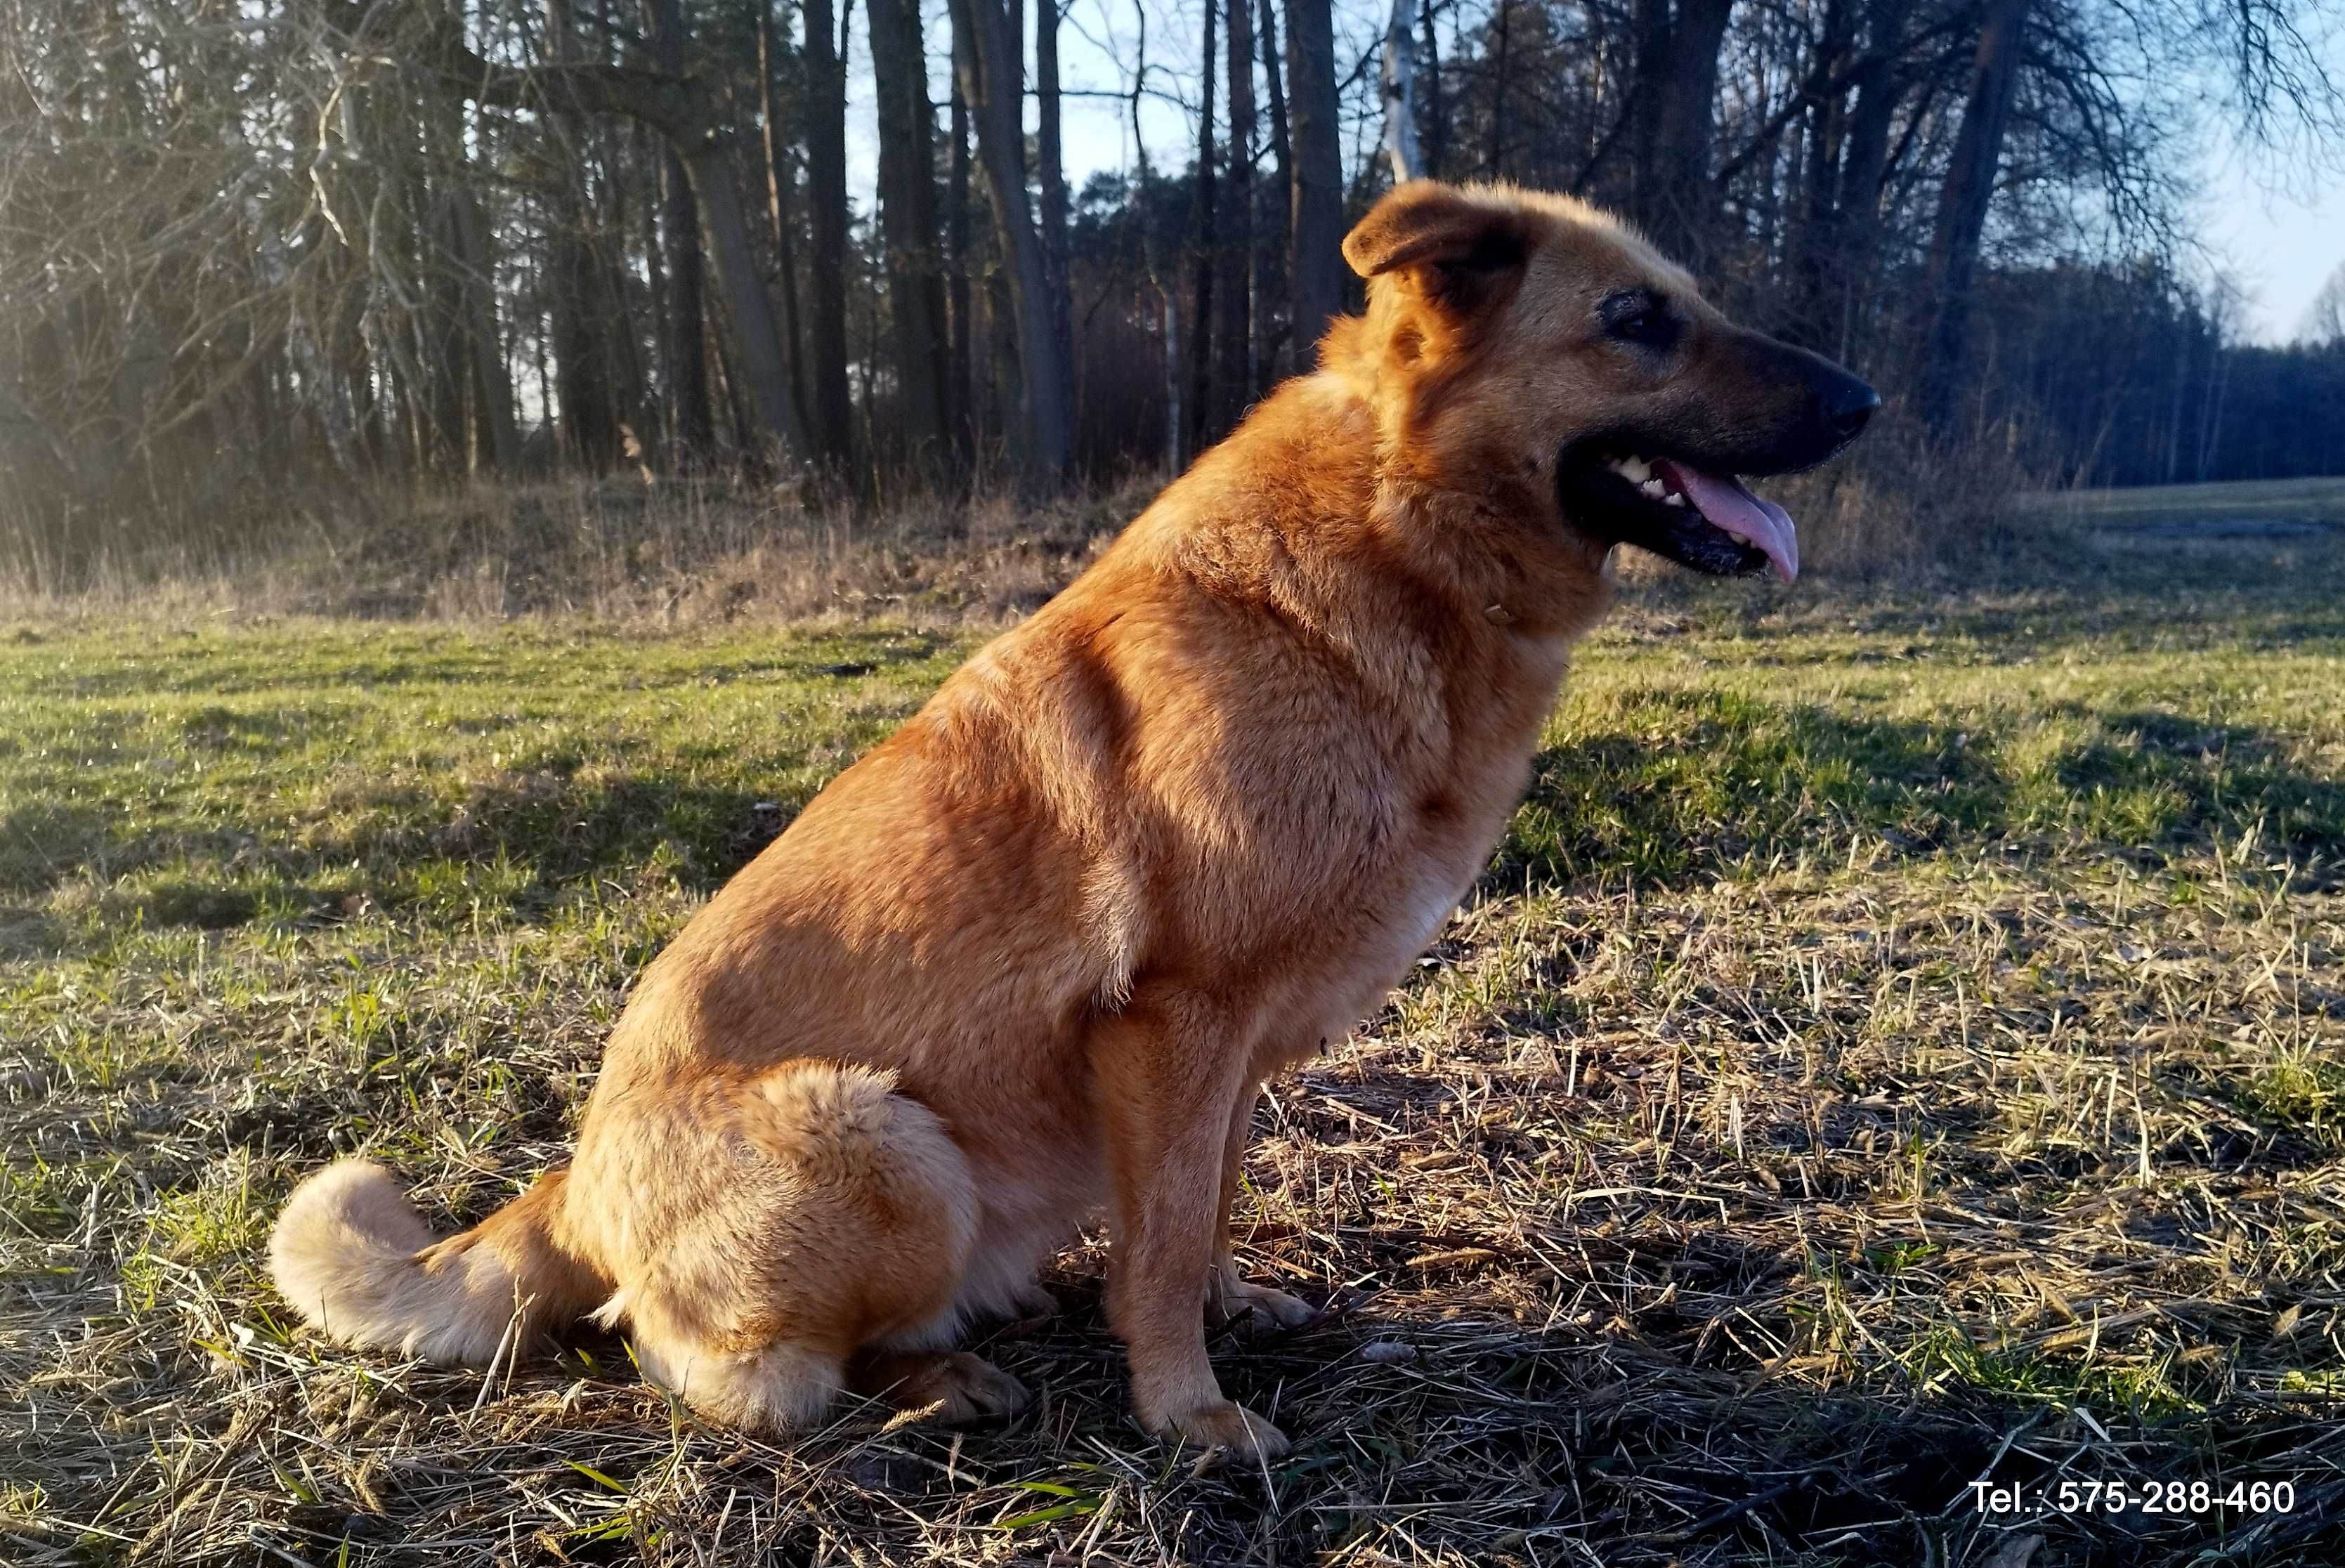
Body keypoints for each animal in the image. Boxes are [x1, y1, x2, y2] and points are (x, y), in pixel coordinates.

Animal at [274, 180, 1876, 1453]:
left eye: (1688, 303)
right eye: (1636, 319)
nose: (1866, 400)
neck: (1388, 545)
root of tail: (570, 1183)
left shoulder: (1228, 1054)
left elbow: (1205, 1207)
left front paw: (1232, 1313)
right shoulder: (1172, 1017)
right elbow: (1155, 1254)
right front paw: (1187, 1413)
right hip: (889, 1138)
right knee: (726, 1373)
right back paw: (934, 1391)